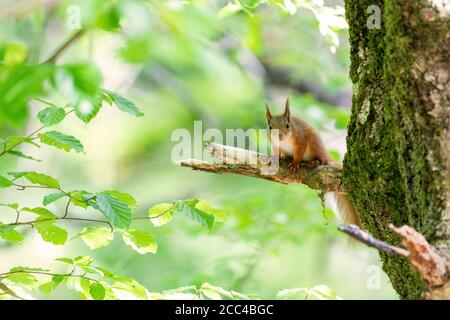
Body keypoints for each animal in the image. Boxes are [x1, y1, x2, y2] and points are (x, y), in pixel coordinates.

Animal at [264, 98, 362, 228]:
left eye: (287, 125)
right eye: (270, 127)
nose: (280, 136)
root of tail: (325, 153)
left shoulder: (301, 139)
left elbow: (300, 152)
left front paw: (295, 163)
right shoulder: (275, 144)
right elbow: (277, 152)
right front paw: (273, 158)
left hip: (314, 143)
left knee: (322, 160)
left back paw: (314, 162)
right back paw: (287, 157)